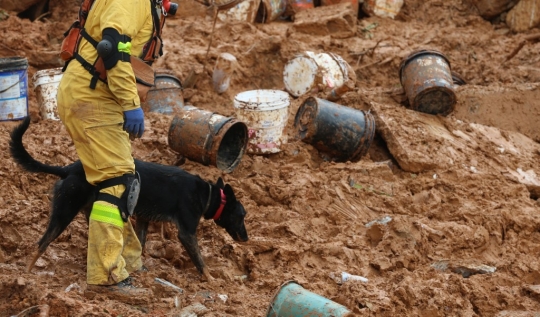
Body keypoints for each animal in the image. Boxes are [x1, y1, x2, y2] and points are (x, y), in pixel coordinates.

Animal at [8, 117, 249, 280]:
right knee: (41, 243)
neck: (207, 194)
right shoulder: (187, 233)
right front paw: (211, 279)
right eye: (241, 216)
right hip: (64, 211)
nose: (247, 239)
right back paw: (25, 276)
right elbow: (200, 260)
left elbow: (141, 245)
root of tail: (68, 169)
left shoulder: (143, 220)